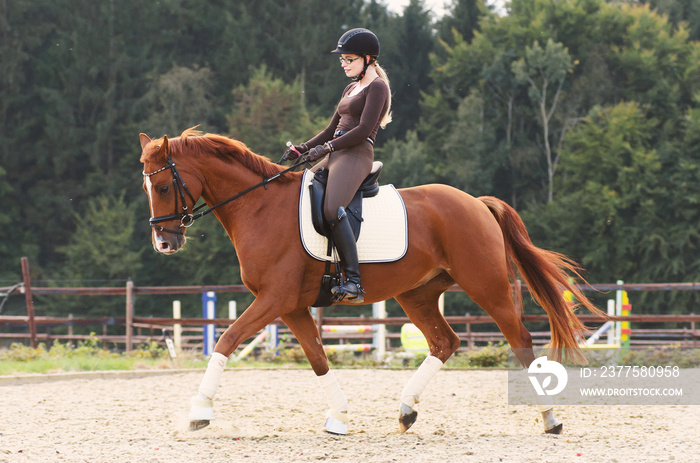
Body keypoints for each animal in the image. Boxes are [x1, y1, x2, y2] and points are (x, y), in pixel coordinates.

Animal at [139, 129, 604, 436]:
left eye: (161, 186)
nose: (164, 242)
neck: (259, 207)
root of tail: (475, 203)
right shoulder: (291, 306)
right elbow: (318, 358)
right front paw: (339, 417)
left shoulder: (274, 299)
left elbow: (227, 339)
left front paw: (199, 412)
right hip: (417, 294)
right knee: (445, 342)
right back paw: (406, 411)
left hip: (484, 285)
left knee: (519, 339)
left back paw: (550, 419)